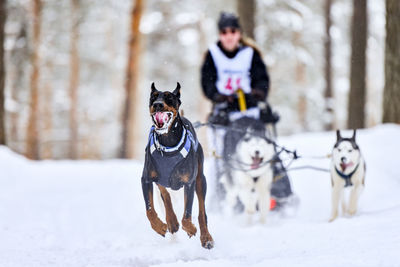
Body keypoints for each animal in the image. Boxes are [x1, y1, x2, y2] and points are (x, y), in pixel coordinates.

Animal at [141, 82, 214, 250]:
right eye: (153, 97)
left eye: (169, 97)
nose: (157, 104)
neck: (167, 142)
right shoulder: (146, 179)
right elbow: (150, 211)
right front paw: (160, 226)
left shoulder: (189, 182)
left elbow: (187, 216)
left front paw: (191, 229)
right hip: (161, 179)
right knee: (166, 196)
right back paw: (171, 222)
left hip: (200, 180)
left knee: (202, 212)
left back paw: (206, 238)